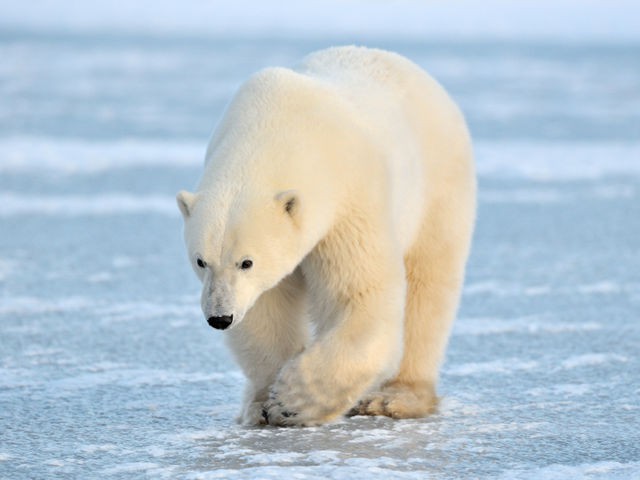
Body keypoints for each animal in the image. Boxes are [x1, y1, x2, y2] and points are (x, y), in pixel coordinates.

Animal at [176, 46, 476, 427]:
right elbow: (265, 310)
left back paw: (395, 397)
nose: (219, 317)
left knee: (428, 287)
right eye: (201, 261)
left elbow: (360, 295)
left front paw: (293, 399)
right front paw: (265, 403)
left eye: (247, 262)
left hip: (437, 188)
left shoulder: (349, 199)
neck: (278, 126)